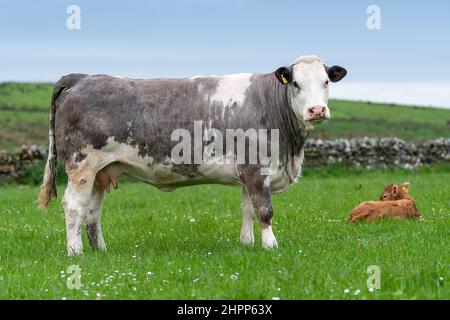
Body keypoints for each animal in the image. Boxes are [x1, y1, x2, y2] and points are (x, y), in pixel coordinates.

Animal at [38, 54, 346, 255]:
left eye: (326, 82)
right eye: (295, 84)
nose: (316, 110)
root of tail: (84, 77)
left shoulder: (247, 172)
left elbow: (247, 209)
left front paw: (247, 244)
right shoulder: (257, 169)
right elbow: (264, 210)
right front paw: (271, 245)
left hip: (102, 170)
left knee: (92, 210)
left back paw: (99, 249)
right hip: (82, 164)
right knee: (74, 205)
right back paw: (75, 251)